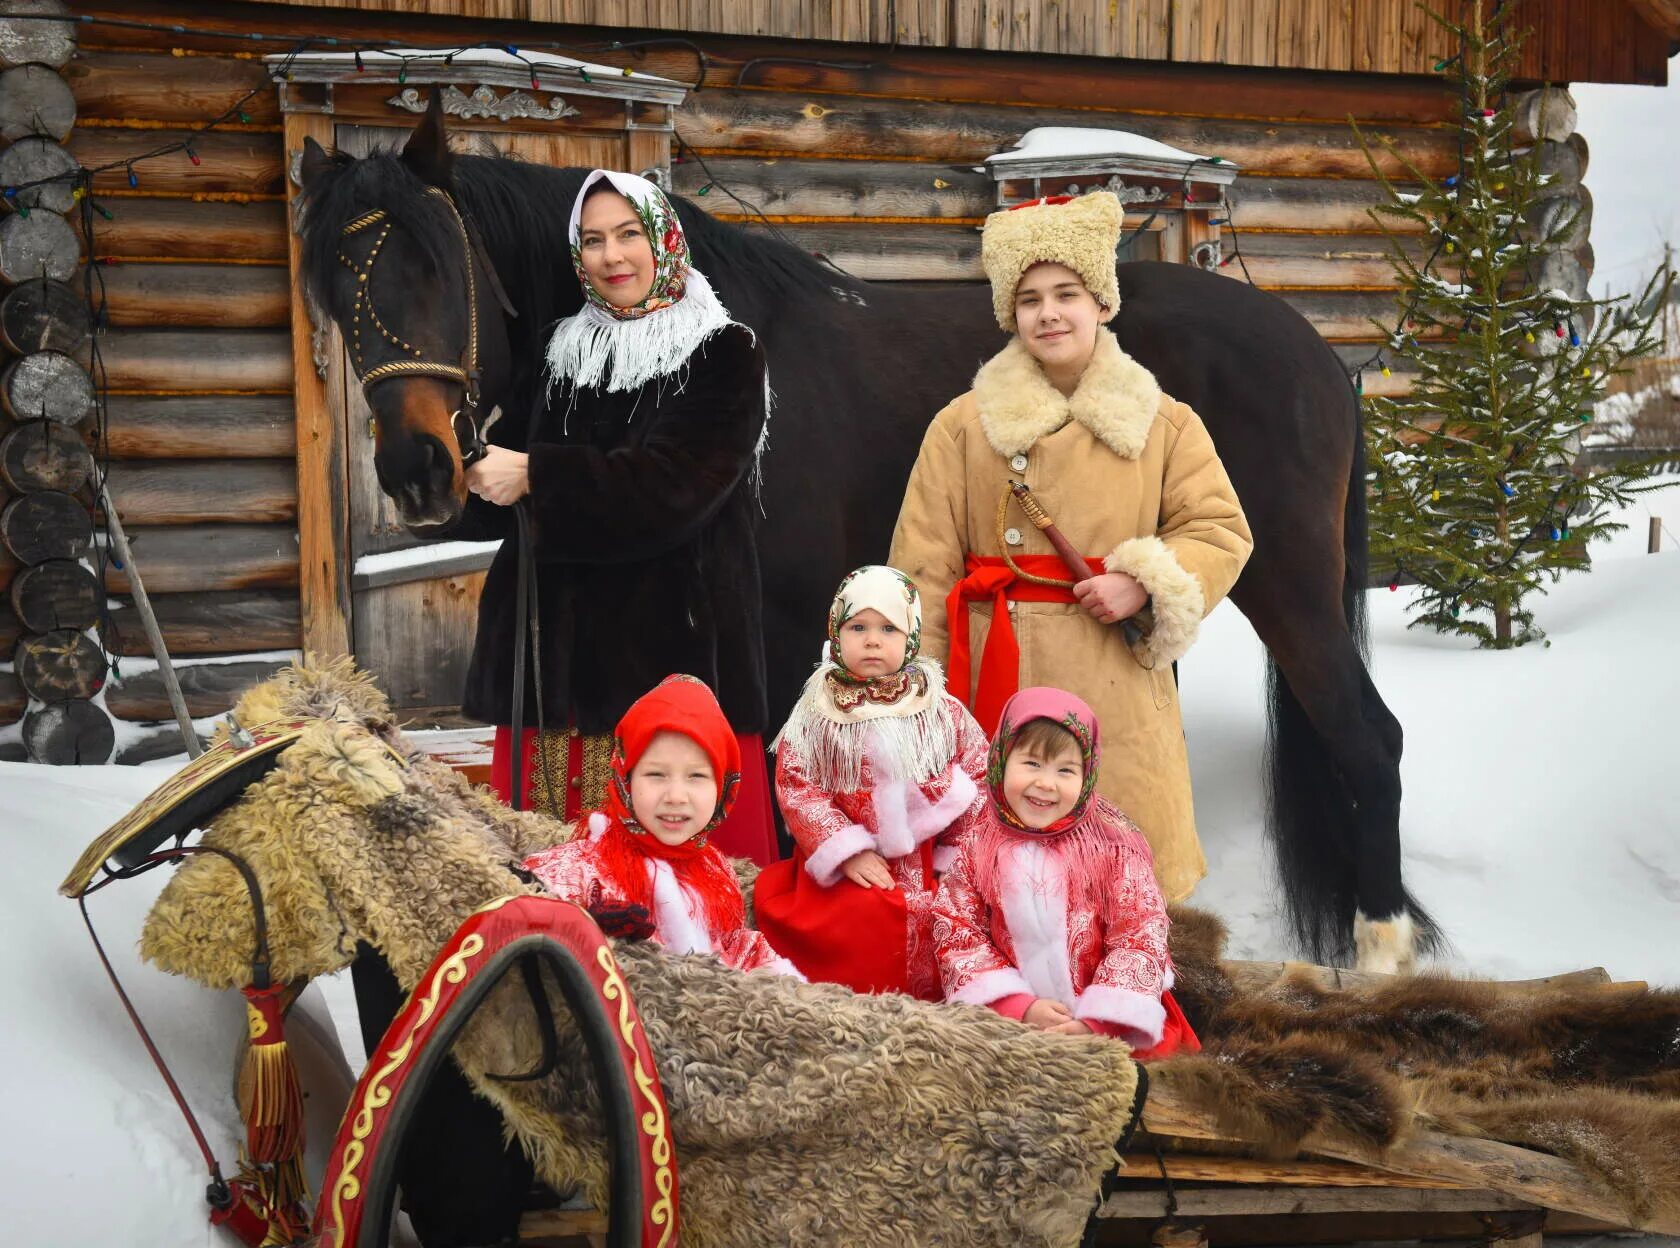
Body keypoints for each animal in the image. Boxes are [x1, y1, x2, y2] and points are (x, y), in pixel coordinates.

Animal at [299, 102, 1431, 974]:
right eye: (337, 296)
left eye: (438, 266)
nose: (419, 473)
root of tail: (1316, 353)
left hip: (1289, 586)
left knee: (1368, 740)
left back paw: (1380, 958)